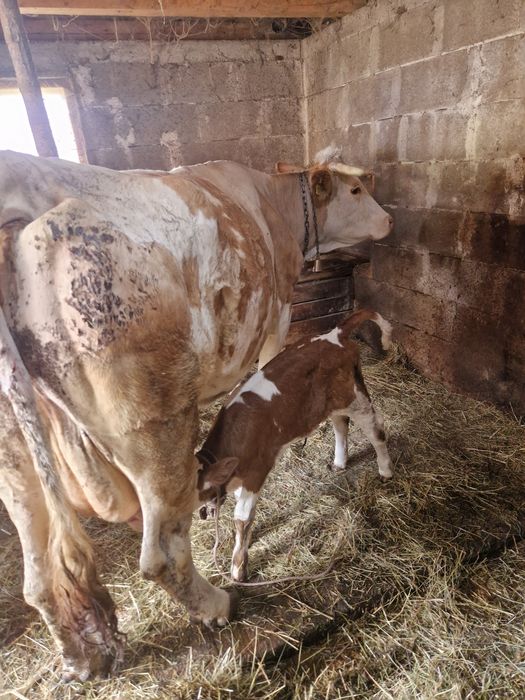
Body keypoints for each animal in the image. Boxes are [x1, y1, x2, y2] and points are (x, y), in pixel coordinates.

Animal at [196, 309, 393, 583]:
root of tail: (335, 334)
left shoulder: (256, 472)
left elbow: (242, 518)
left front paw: (238, 569)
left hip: (354, 397)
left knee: (376, 430)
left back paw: (385, 470)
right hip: (331, 404)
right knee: (340, 425)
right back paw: (339, 463)